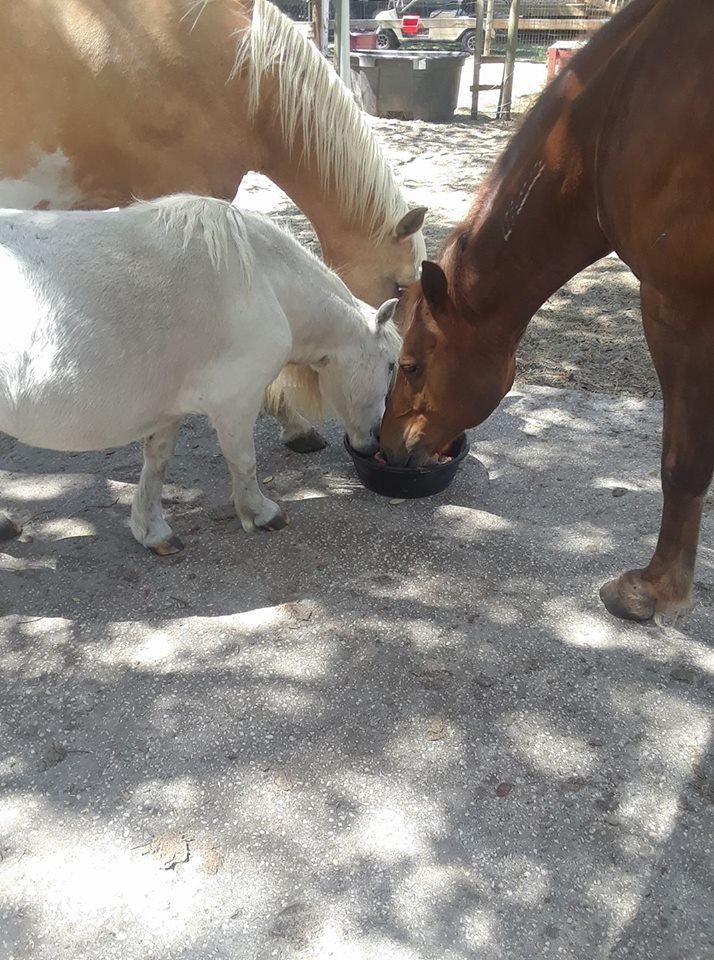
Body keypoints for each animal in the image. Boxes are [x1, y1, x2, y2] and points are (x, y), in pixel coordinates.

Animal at [0, 195, 400, 554]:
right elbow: (243, 461)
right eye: (392, 365)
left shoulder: (166, 411)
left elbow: (157, 464)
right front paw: (262, 513)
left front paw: (152, 531)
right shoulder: (236, 403)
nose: (377, 441)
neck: (263, 278)